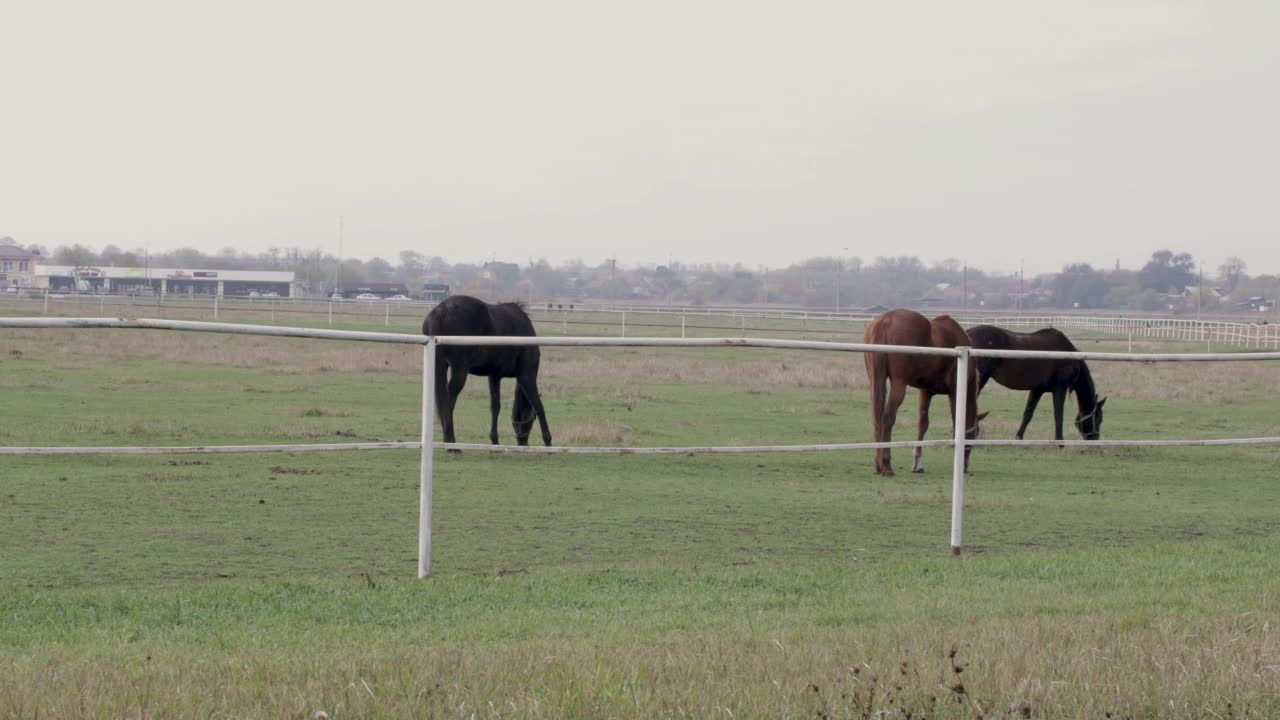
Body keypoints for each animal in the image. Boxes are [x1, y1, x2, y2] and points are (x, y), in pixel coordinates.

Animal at [424, 294, 550, 445]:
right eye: (532, 419)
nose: (522, 442)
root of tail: (440, 311)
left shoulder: (494, 376)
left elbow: (495, 407)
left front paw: (495, 441)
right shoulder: (526, 376)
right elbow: (538, 406)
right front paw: (548, 441)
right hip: (459, 370)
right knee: (449, 401)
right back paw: (451, 442)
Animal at [860, 308, 988, 476]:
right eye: (975, 434)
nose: (965, 466)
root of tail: (885, 320)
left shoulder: (926, 392)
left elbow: (923, 424)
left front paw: (917, 463)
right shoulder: (954, 391)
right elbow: (955, 422)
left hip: (875, 379)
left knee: (877, 417)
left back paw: (879, 464)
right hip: (899, 384)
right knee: (887, 417)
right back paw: (887, 465)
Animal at [962, 324, 1105, 438]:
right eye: (1098, 418)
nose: (1094, 438)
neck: (1068, 355)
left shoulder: (1037, 389)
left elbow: (1028, 414)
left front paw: (1019, 437)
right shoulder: (1060, 388)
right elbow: (1058, 415)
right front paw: (1059, 442)